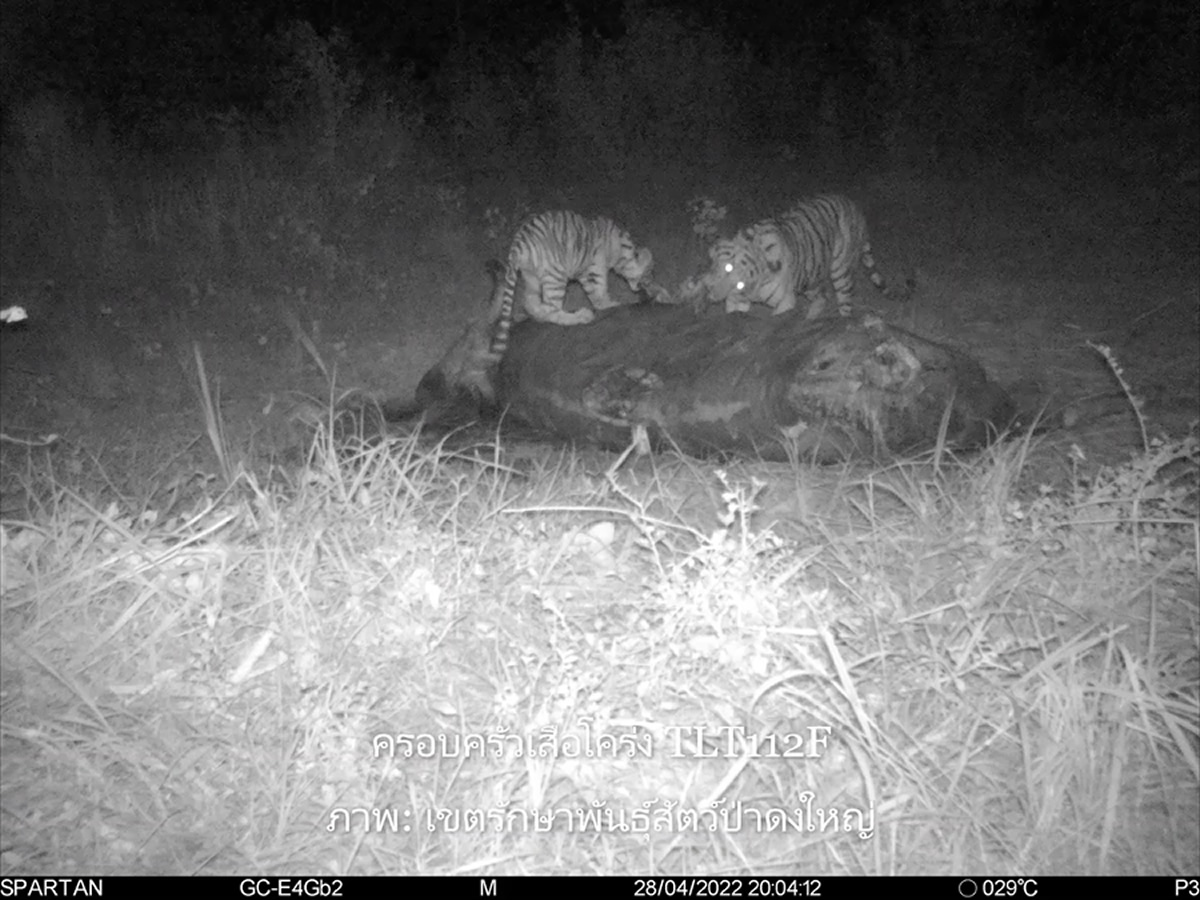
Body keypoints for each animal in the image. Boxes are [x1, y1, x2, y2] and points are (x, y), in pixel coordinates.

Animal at [494, 211, 652, 328]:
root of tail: (518, 243)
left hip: (531, 277)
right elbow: (599, 291)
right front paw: (611, 304)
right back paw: (581, 316)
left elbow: (595, 293)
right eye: (650, 274)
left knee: (531, 303)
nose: (639, 288)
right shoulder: (595, 269)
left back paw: (537, 315)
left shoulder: (587, 273)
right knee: (552, 310)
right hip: (556, 276)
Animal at [700, 195, 902, 321]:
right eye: (719, 266)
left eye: (730, 271)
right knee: (822, 297)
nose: (710, 291)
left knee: (844, 302)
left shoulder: (785, 302)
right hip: (810, 277)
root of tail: (854, 206)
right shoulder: (736, 300)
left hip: (840, 270)